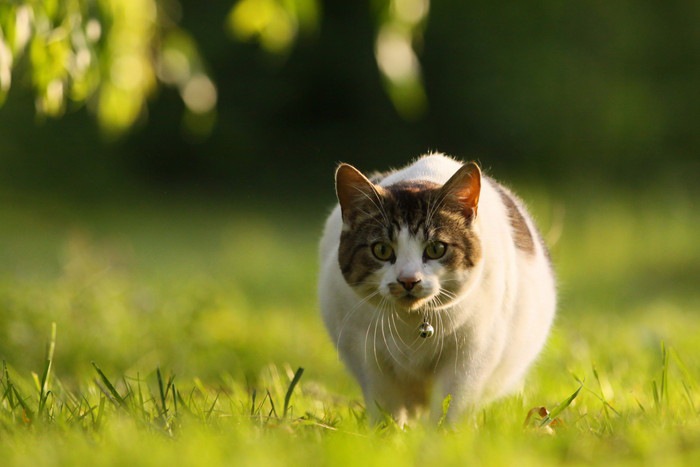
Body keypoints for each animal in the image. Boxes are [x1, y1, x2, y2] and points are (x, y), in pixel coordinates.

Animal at [318, 154, 556, 428]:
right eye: (381, 250)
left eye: (435, 249)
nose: (408, 280)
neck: (411, 325)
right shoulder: (366, 353)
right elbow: (385, 407)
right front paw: (388, 436)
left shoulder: (471, 354)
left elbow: (451, 406)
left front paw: (443, 437)